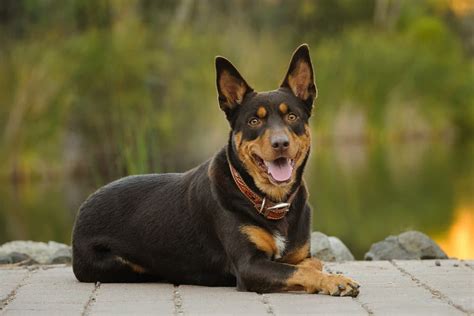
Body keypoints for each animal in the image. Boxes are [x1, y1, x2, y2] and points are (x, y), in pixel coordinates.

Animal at [71, 44, 360, 296]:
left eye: (292, 117)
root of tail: (83, 208)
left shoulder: (299, 254)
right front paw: (335, 281)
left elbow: (311, 263)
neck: (270, 202)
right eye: (254, 121)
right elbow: (300, 271)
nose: (280, 143)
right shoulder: (249, 266)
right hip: (120, 264)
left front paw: (331, 275)